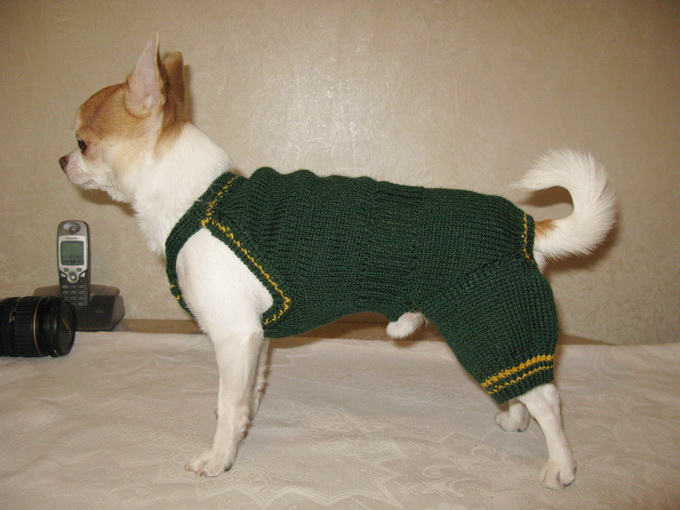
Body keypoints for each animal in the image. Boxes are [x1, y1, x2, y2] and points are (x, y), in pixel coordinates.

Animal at [59, 36, 615, 489]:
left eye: (83, 142)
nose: (63, 160)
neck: (198, 199)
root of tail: (526, 227)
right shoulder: (255, 338)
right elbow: (248, 393)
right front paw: (244, 428)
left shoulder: (233, 335)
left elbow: (224, 404)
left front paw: (218, 458)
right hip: (494, 330)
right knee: (521, 384)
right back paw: (515, 418)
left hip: (485, 318)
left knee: (549, 398)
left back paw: (561, 465)